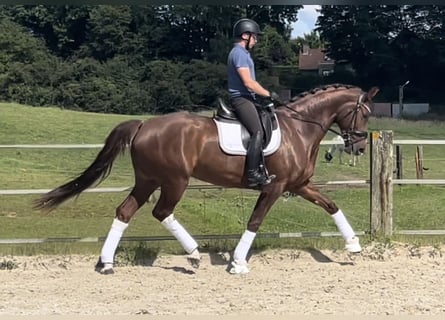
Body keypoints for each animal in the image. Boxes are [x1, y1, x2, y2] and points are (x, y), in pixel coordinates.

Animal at [35, 83, 378, 276]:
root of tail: (145, 125)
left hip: (148, 180)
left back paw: (107, 263)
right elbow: (255, 221)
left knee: (125, 211)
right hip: (174, 180)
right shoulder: (275, 187)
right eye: (364, 114)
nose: (360, 146)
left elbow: (330, 205)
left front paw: (353, 245)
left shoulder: (298, 185)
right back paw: (194, 253)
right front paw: (238, 263)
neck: (299, 128)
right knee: (161, 212)